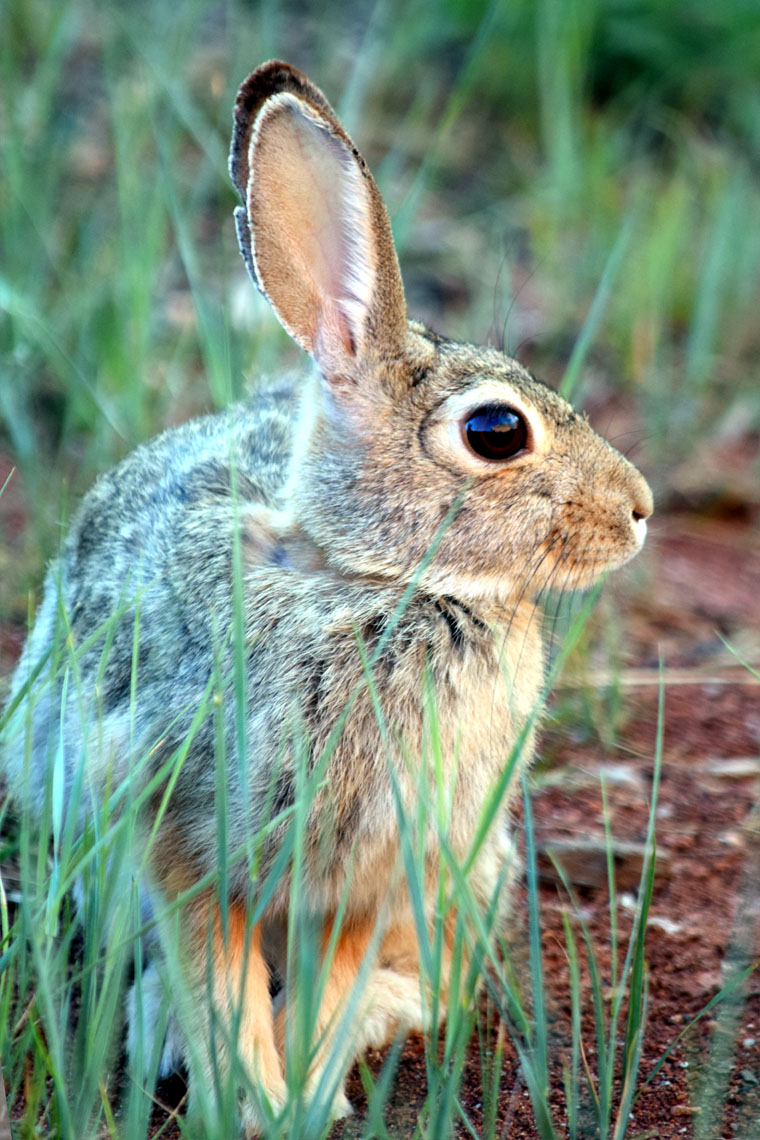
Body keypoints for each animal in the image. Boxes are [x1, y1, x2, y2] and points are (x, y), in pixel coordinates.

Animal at [2, 60, 651, 1140]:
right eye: (495, 430)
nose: (640, 509)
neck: (377, 581)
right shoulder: (177, 827)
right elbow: (213, 973)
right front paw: (250, 1097)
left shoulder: (382, 867)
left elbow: (328, 981)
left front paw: (303, 1090)